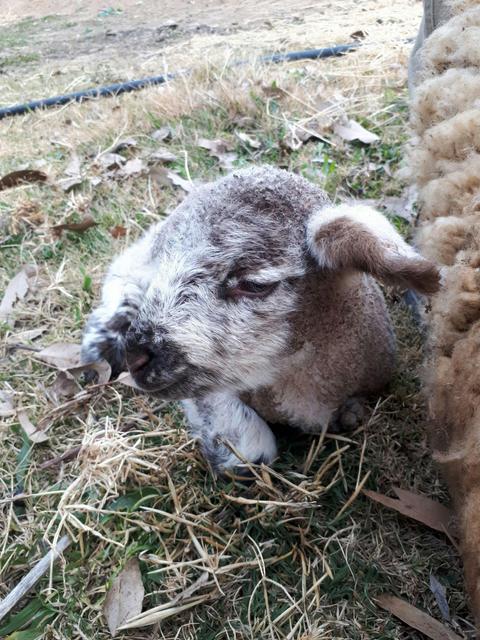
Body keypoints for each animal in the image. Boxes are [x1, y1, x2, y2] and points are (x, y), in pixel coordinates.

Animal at [81, 165, 439, 475]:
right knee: (125, 269)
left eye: (253, 284)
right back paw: (100, 339)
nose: (137, 356)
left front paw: (349, 414)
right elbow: (251, 452)